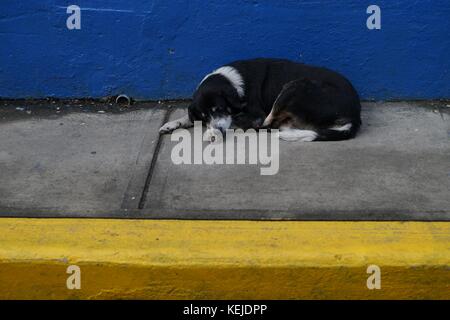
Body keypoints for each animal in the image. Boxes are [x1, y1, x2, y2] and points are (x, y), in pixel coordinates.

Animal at [160, 57, 360, 142]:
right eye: (205, 116)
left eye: (219, 108)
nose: (216, 130)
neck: (232, 81)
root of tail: (355, 116)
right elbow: (189, 116)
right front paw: (171, 124)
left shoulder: (255, 115)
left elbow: (238, 121)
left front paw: (212, 132)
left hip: (294, 87)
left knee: (268, 125)